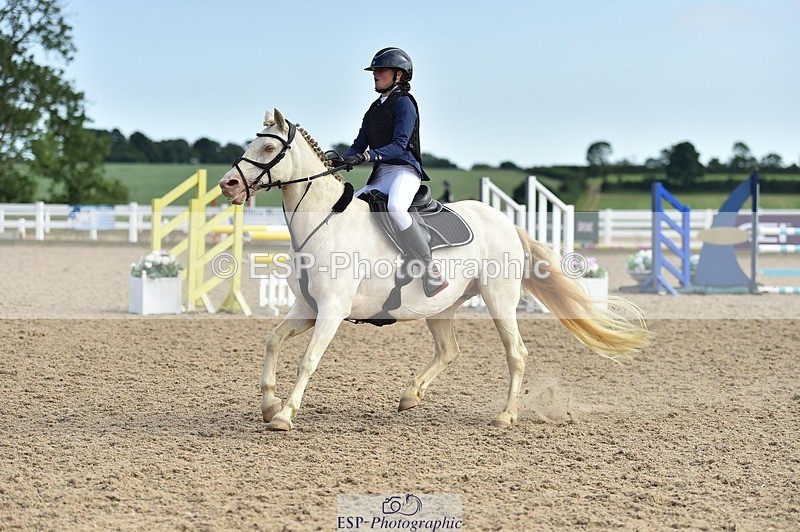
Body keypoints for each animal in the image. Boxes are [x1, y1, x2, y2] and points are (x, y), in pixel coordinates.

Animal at [218, 108, 649, 431]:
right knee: (449, 350)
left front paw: (285, 414)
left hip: (499, 299)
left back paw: (505, 415)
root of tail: (505, 222)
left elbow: (308, 359)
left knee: (516, 352)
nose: (228, 185)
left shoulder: (331, 310)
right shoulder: (307, 308)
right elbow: (273, 341)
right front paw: (269, 405)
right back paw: (411, 395)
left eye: (269, 146)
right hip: (440, 307)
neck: (325, 221)